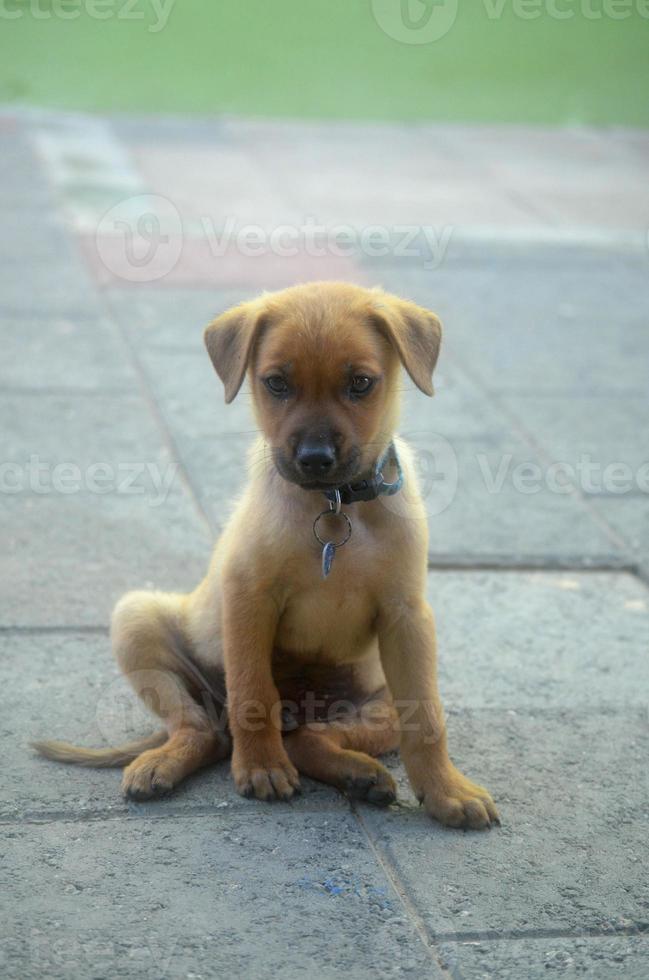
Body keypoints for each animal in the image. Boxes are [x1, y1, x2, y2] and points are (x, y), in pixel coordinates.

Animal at [35, 280, 498, 832]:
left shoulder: (407, 616)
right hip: (138, 619)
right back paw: (165, 764)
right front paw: (260, 768)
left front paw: (447, 791)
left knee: (307, 738)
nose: (315, 459)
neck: (334, 504)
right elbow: (255, 692)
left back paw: (359, 774)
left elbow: (427, 718)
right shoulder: (249, 597)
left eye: (361, 383)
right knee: (206, 728)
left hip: (378, 700)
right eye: (276, 384)